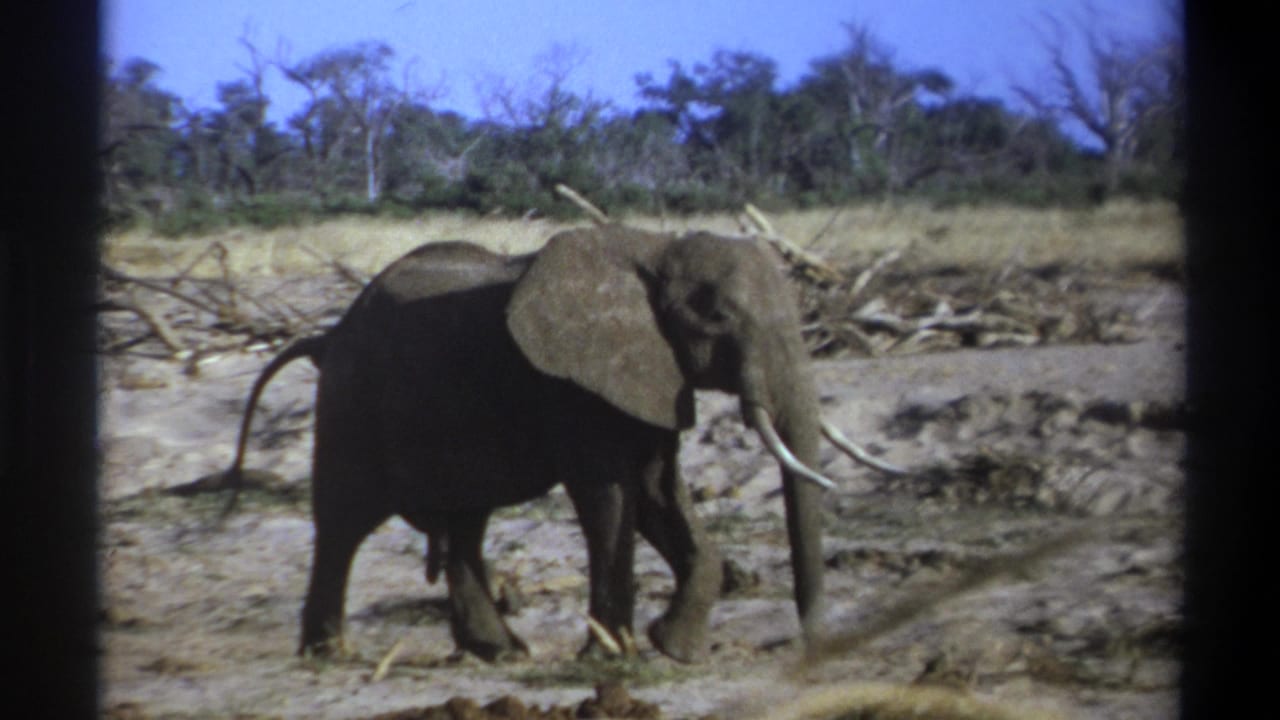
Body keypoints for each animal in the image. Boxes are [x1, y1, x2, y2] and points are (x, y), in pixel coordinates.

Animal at [224, 225, 902, 664]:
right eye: (715, 316)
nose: (812, 644)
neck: (654, 248)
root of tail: (326, 335)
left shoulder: (647, 376)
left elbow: (658, 495)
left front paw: (674, 651)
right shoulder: (574, 387)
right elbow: (609, 498)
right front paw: (612, 659)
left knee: (464, 526)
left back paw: (501, 654)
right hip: (351, 402)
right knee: (344, 523)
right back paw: (328, 655)